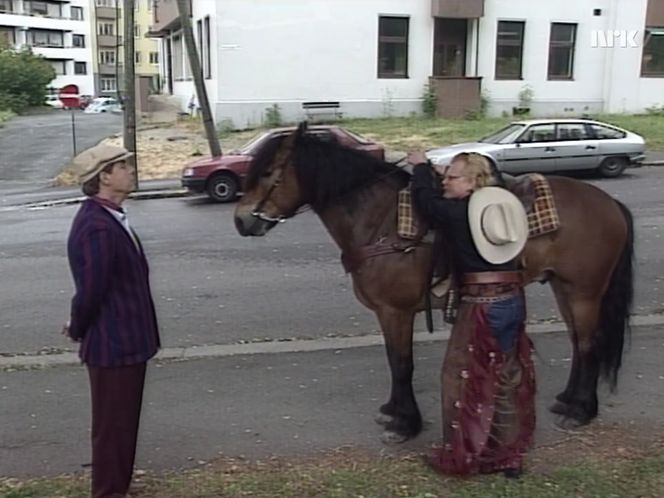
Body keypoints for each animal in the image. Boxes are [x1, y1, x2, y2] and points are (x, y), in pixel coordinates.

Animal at [233, 124, 632, 444]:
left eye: (267, 172)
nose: (240, 221)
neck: (382, 222)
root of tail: (610, 202)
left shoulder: (396, 311)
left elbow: (401, 364)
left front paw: (405, 424)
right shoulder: (387, 314)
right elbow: (395, 361)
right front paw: (394, 411)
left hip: (584, 292)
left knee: (589, 343)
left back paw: (581, 410)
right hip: (564, 287)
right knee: (579, 344)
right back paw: (568, 400)